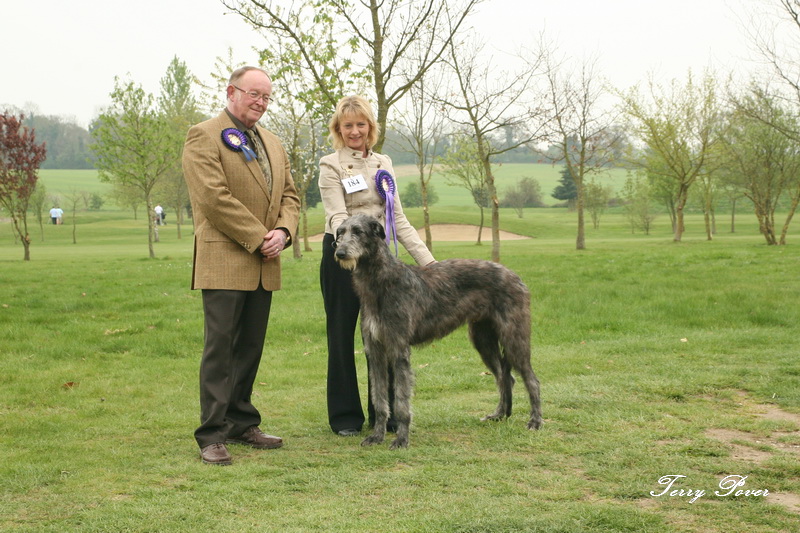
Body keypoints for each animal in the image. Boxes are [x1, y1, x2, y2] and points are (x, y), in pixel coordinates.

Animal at [332, 214, 544, 446]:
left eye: (358, 231)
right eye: (340, 232)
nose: (340, 253)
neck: (381, 281)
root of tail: (514, 275)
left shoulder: (399, 349)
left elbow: (401, 402)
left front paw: (401, 439)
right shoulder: (376, 351)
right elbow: (379, 400)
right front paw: (377, 436)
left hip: (514, 336)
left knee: (531, 379)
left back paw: (535, 421)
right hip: (483, 339)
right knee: (506, 377)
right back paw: (499, 414)